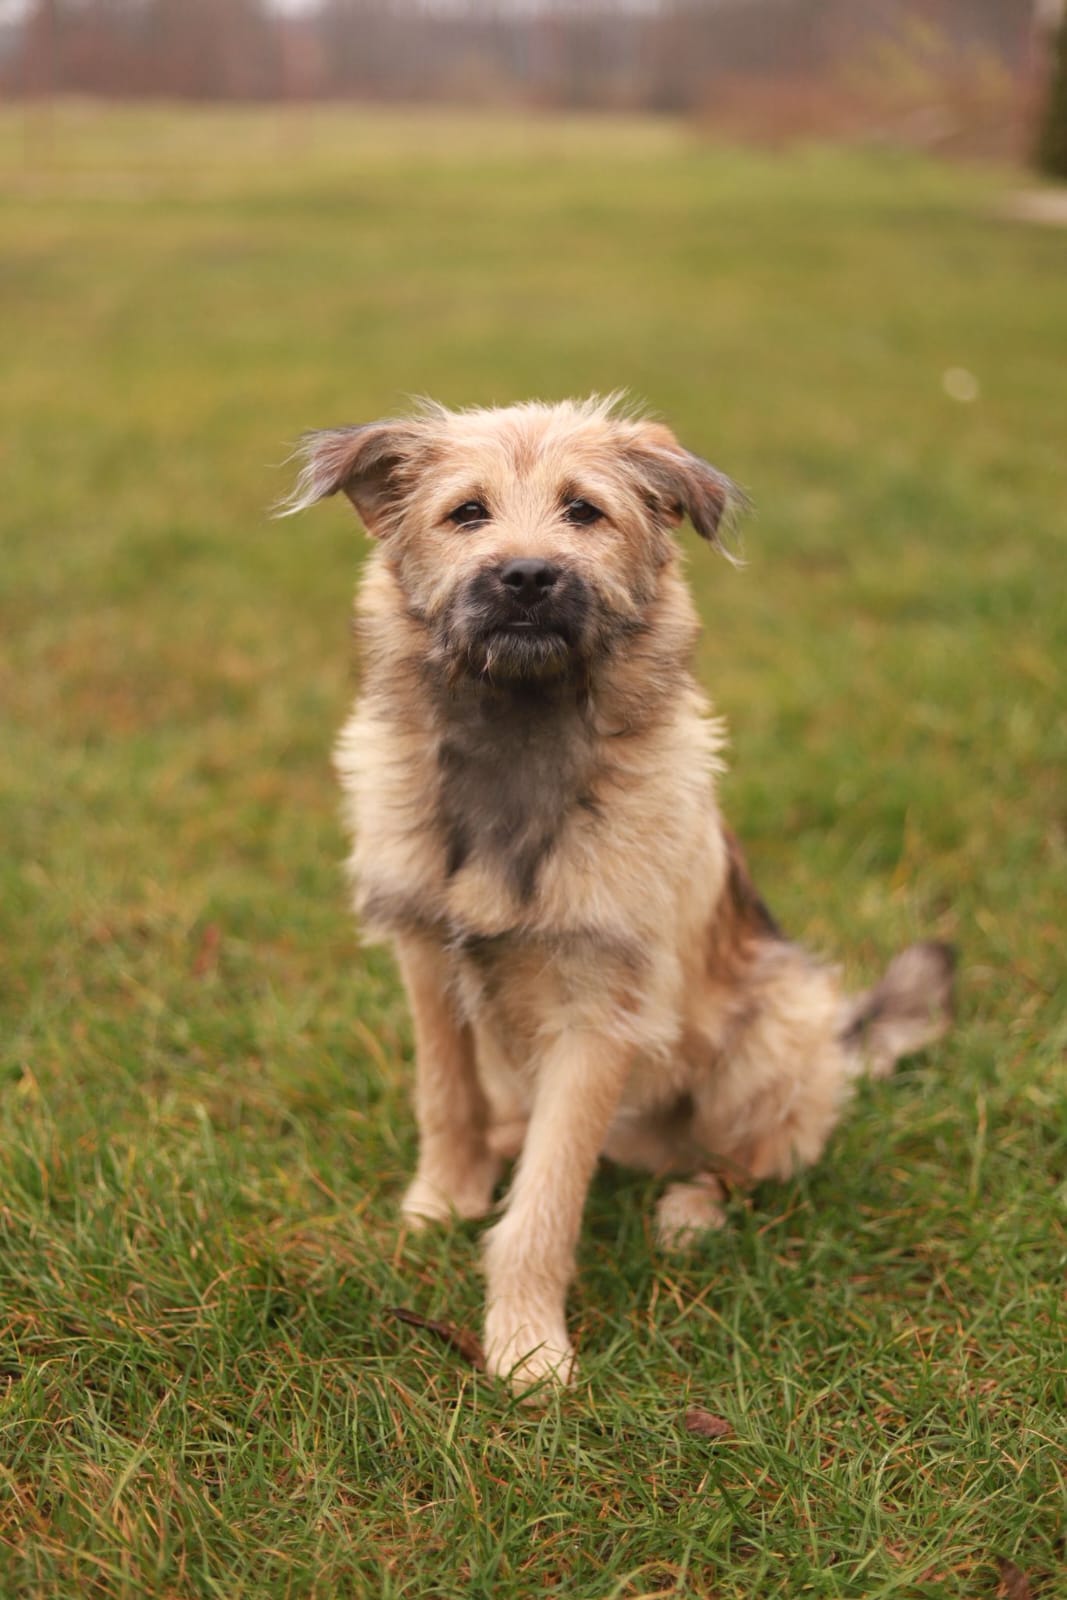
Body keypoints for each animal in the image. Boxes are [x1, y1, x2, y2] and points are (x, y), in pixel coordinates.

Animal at [283, 396, 954, 1393]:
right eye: (467, 513)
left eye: (584, 511)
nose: (526, 576)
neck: (520, 735)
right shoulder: (425, 959)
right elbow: (444, 1097)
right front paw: (440, 1202)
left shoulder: (598, 1010)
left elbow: (548, 1202)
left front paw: (526, 1347)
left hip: (774, 1028)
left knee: (741, 1162)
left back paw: (689, 1209)